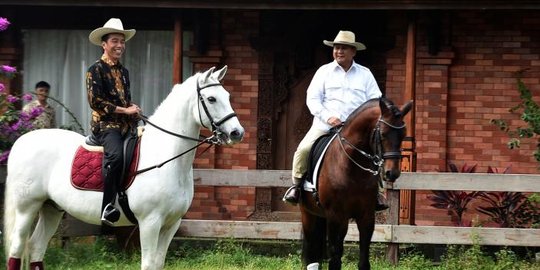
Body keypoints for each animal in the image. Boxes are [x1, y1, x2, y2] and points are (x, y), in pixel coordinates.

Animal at [3, 66, 245, 270]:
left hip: (51, 208)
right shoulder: (150, 223)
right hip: (27, 207)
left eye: (228, 96)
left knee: (36, 247)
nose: (237, 133)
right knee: (17, 247)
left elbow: (158, 263)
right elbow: (148, 264)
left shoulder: (171, 224)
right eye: (211, 98)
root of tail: (22, 141)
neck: (166, 156)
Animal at [300, 97, 414, 270]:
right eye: (383, 134)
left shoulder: (366, 216)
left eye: (403, 135)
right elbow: (335, 258)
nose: (392, 173)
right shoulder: (335, 215)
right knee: (312, 248)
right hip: (309, 214)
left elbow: (363, 259)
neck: (352, 169)